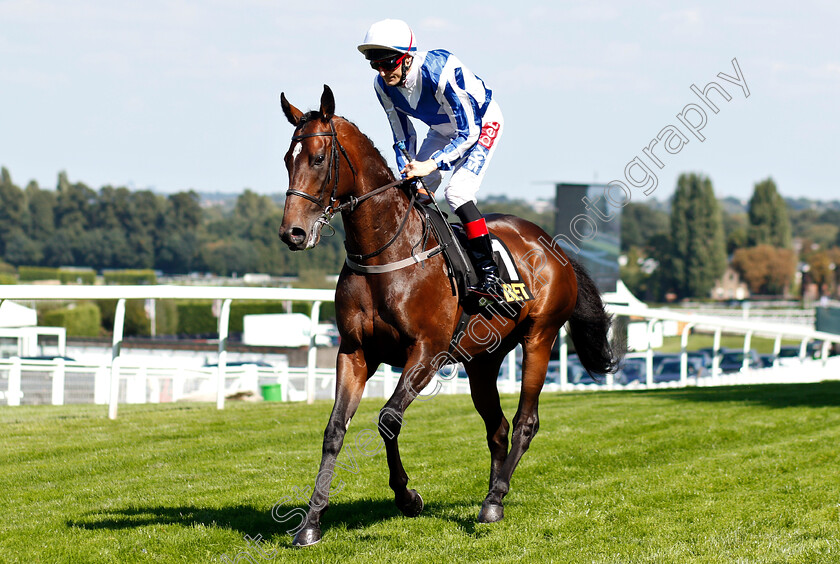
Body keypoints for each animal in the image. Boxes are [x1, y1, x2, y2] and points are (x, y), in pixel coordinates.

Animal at [278, 85, 620, 548]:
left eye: (317, 158)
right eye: (287, 158)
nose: (292, 233)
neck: (386, 251)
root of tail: (554, 247)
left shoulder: (427, 352)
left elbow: (388, 419)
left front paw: (407, 498)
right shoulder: (354, 352)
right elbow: (334, 430)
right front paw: (311, 522)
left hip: (540, 337)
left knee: (525, 421)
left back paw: (494, 500)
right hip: (483, 361)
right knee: (497, 428)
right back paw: (492, 491)